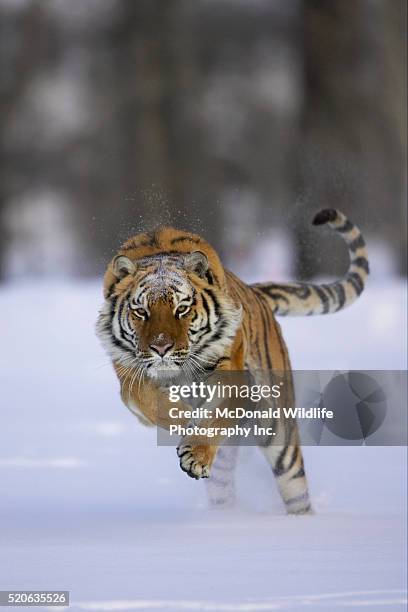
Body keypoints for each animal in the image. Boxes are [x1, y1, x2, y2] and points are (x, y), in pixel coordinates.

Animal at [97, 208, 368, 512]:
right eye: (141, 311)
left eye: (182, 309)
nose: (161, 347)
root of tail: (255, 292)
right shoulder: (130, 377)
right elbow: (151, 401)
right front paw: (188, 422)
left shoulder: (232, 375)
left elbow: (217, 414)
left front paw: (196, 449)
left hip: (279, 432)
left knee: (296, 488)